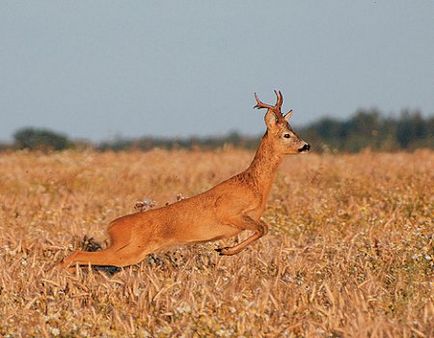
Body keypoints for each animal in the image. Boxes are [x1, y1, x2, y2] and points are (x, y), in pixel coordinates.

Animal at [59, 90, 310, 270]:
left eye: (294, 131)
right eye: (287, 135)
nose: (306, 146)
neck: (252, 185)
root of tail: (111, 227)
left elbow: (263, 227)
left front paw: (224, 250)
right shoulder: (230, 213)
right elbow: (262, 228)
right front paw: (225, 250)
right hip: (129, 251)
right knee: (75, 255)